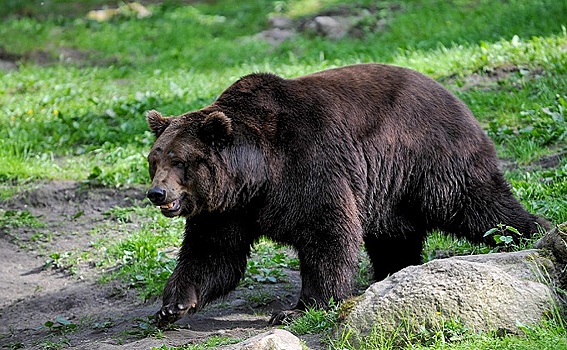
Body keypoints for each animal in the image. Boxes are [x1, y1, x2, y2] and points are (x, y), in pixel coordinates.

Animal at [145, 63, 544, 328]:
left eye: (179, 160)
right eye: (154, 159)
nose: (156, 193)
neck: (256, 176)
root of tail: (455, 97)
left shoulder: (309, 166)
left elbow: (327, 233)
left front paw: (297, 308)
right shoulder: (227, 209)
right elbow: (213, 254)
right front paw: (172, 306)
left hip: (430, 159)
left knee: (477, 204)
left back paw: (530, 233)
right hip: (389, 189)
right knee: (394, 235)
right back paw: (391, 272)